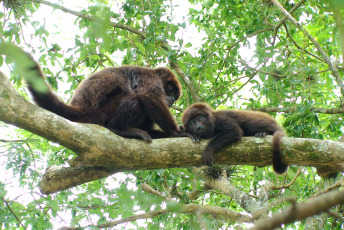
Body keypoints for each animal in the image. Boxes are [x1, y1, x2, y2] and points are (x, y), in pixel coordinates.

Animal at [26, 58, 188, 143]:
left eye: (175, 97)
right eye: (171, 90)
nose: (172, 99)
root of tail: (82, 109)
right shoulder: (149, 77)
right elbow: (149, 96)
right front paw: (176, 133)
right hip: (101, 112)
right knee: (135, 99)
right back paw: (118, 129)